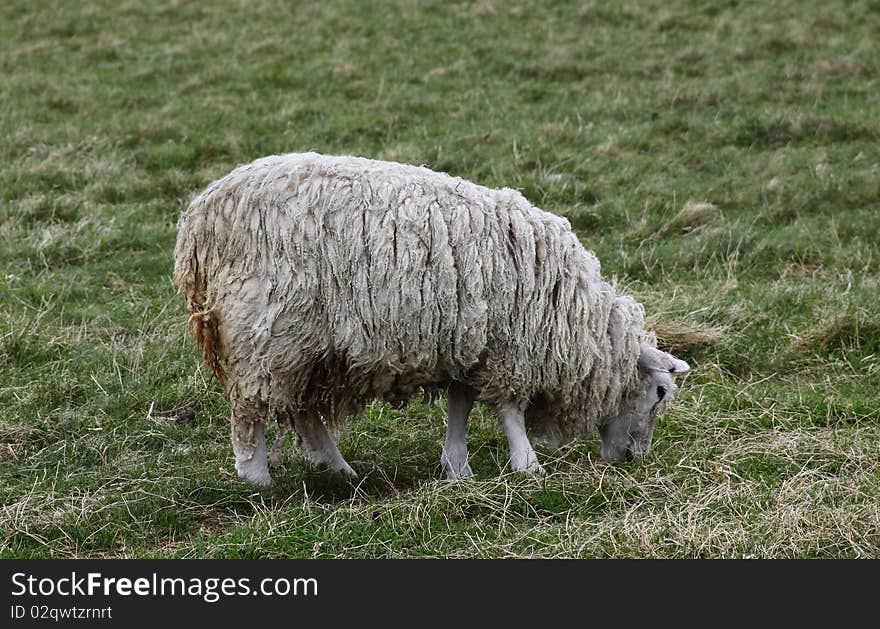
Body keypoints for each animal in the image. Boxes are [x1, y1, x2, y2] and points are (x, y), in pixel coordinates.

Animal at [175, 152, 692, 486]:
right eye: (659, 393)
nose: (634, 459)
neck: (573, 311)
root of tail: (201, 216)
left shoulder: (470, 343)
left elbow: (460, 406)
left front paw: (457, 467)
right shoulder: (508, 346)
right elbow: (510, 410)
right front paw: (527, 464)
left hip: (305, 345)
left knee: (301, 408)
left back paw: (335, 467)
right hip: (265, 329)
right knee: (249, 409)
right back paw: (257, 477)